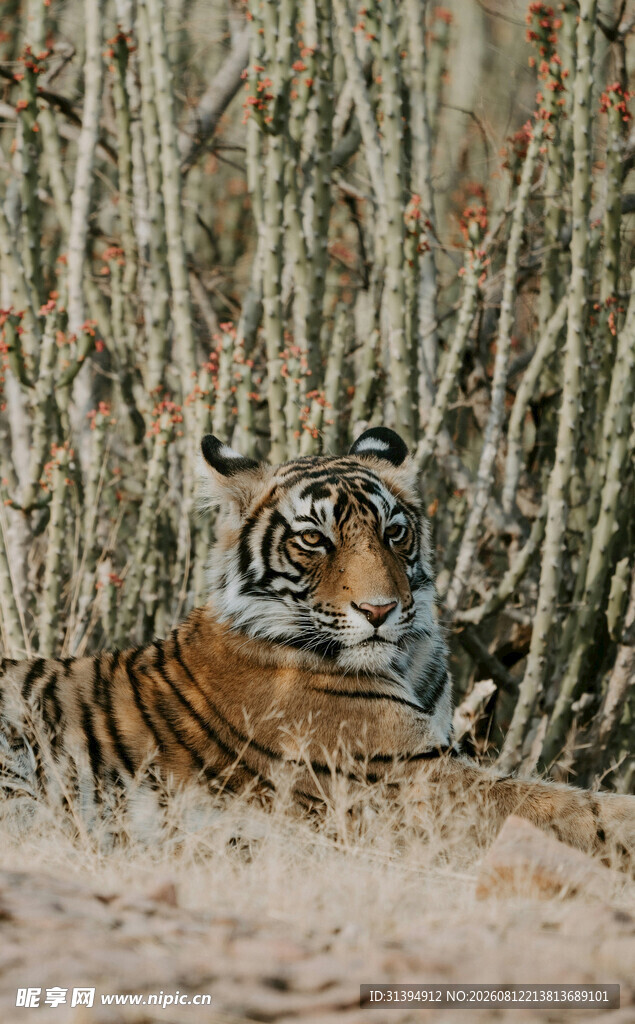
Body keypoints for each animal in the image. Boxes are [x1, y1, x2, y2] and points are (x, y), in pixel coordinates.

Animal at [1, 426, 634, 859]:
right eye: (313, 540)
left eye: (393, 532)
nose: (379, 610)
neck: (407, 660)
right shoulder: (414, 780)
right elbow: (575, 808)